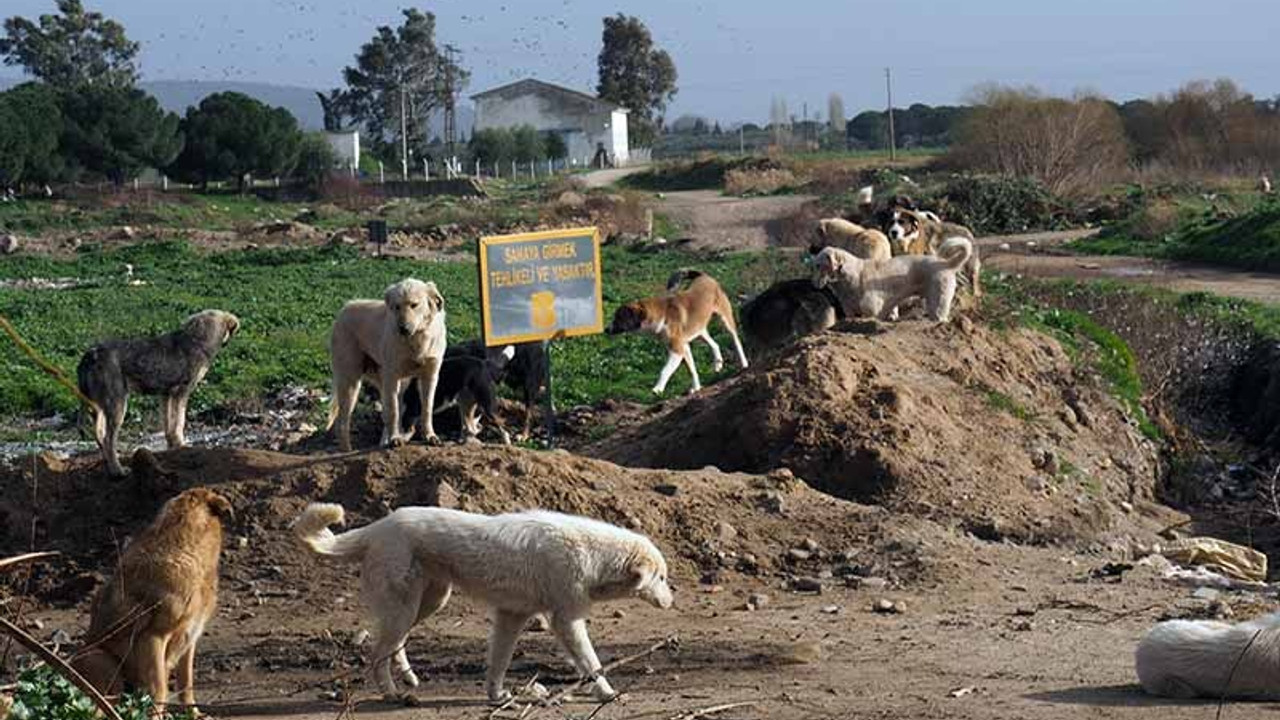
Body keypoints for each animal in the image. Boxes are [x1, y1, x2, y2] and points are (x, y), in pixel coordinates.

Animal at [72, 484, 232, 712]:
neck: (187, 549)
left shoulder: (190, 638)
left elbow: (186, 685)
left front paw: (193, 714)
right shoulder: (153, 637)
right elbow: (159, 690)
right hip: (105, 665)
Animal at [77, 310, 240, 474]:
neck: (198, 340)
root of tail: (90, 354)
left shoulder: (166, 395)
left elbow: (169, 425)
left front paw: (172, 445)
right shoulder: (181, 393)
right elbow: (179, 422)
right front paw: (181, 444)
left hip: (100, 409)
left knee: (99, 435)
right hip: (118, 407)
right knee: (108, 439)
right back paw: (118, 470)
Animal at [290, 499, 670, 702]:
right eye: (663, 578)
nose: (671, 600)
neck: (592, 555)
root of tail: (378, 526)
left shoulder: (512, 616)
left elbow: (498, 662)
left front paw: (496, 696)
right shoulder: (566, 621)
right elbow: (591, 664)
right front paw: (607, 692)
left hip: (428, 603)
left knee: (394, 645)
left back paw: (410, 681)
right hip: (405, 608)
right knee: (376, 653)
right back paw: (391, 693)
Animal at [609, 267, 747, 392]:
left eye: (618, 318)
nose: (606, 330)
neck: (662, 315)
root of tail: (703, 276)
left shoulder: (677, 350)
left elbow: (664, 371)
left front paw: (657, 389)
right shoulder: (684, 347)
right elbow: (692, 370)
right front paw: (696, 388)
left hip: (725, 319)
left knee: (736, 340)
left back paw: (744, 364)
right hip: (699, 330)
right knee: (715, 344)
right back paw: (718, 364)